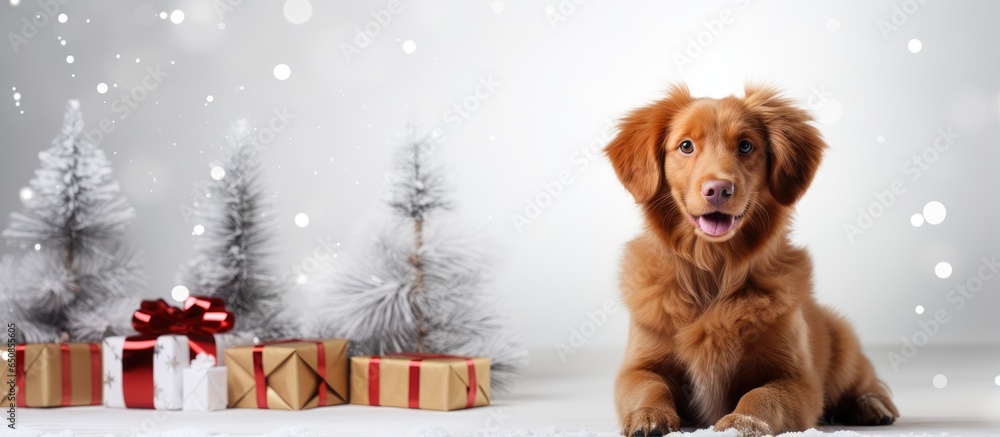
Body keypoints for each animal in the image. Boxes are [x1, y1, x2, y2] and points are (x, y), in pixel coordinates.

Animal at [604, 83, 904, 434]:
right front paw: (648, 415)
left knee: (863, 378)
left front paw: (741, 423)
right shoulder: (637, 366)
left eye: (746, 146)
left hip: (842, 338)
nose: (718, 189)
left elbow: (761, 395)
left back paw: (870, 404)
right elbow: (650, 386)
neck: (714, 271)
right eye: (686, 146)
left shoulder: (797, 379)